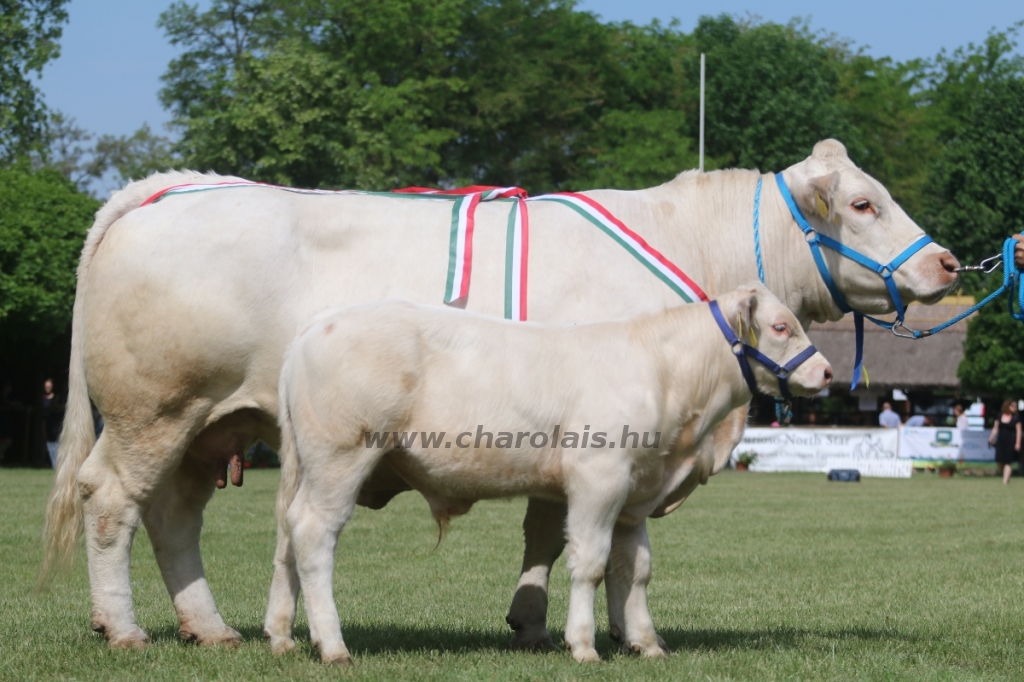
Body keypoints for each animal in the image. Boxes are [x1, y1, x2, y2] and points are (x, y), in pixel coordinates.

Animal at [44, 138, 958, 647]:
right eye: (864, 203)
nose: (948, 263)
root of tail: (168, 187)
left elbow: (572, 539)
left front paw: (564, 622)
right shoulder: (594, 440)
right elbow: (573, 537)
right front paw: (551, 624)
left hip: (211, 425)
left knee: (174, 516)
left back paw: (210, 628)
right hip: (154, 411)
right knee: (112, 502)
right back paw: (123, 627)